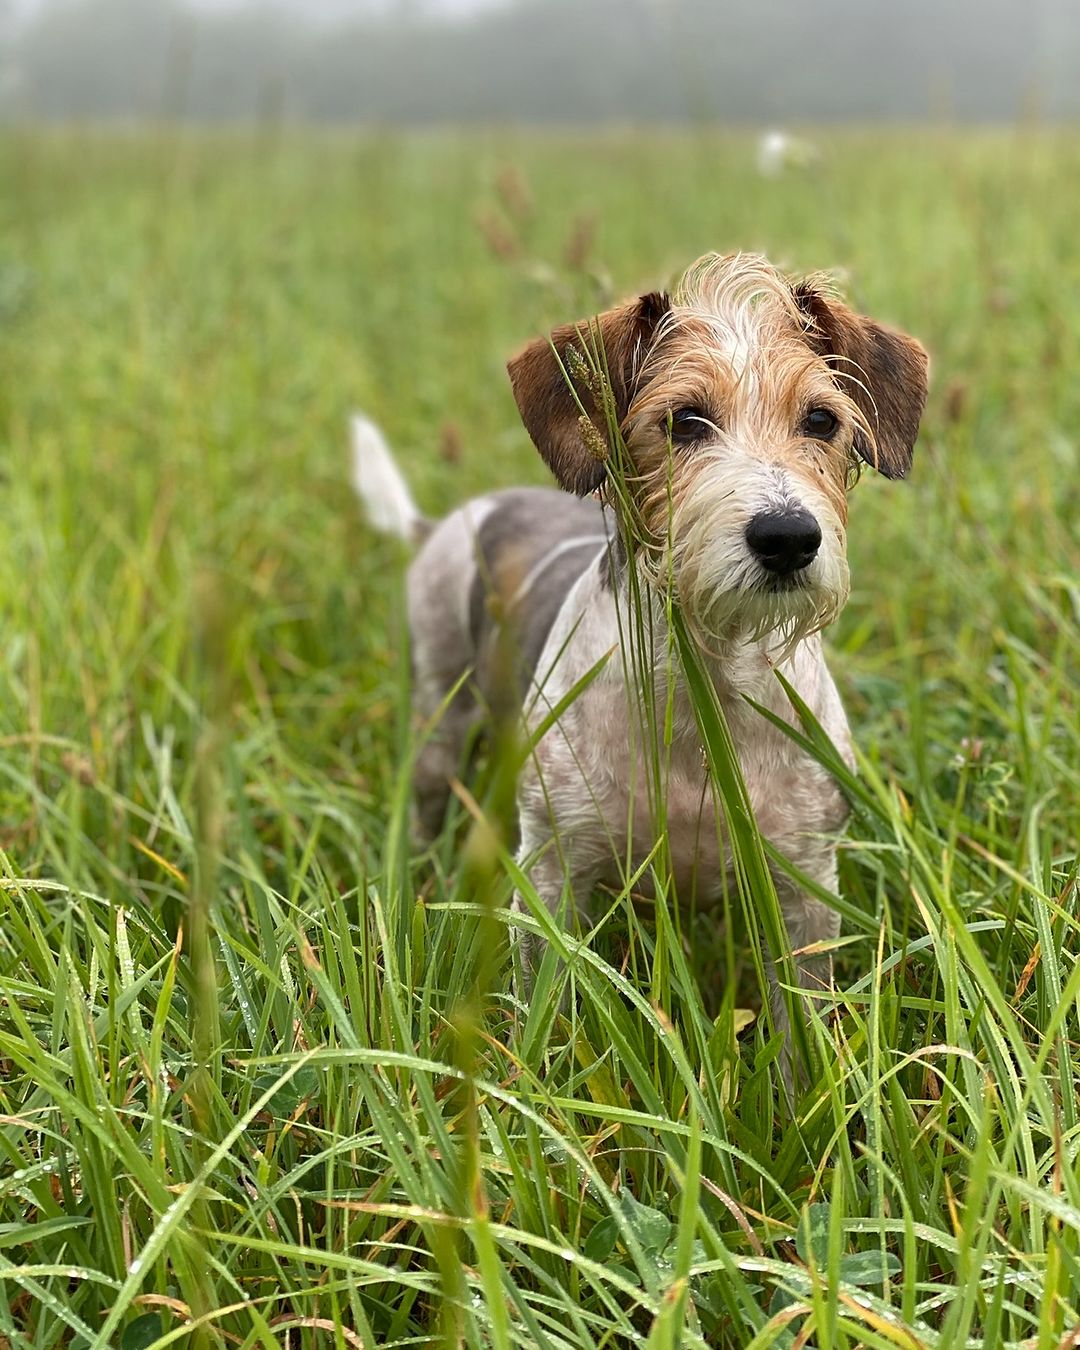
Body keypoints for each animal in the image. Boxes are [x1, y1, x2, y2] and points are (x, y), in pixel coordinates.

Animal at [353, 253, 928, 1026]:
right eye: (684, 420)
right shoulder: (555, 874)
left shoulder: (805, 887)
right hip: (440, 715)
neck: (702, 688)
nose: (787, 537)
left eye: (821, 418)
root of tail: (450, 520)